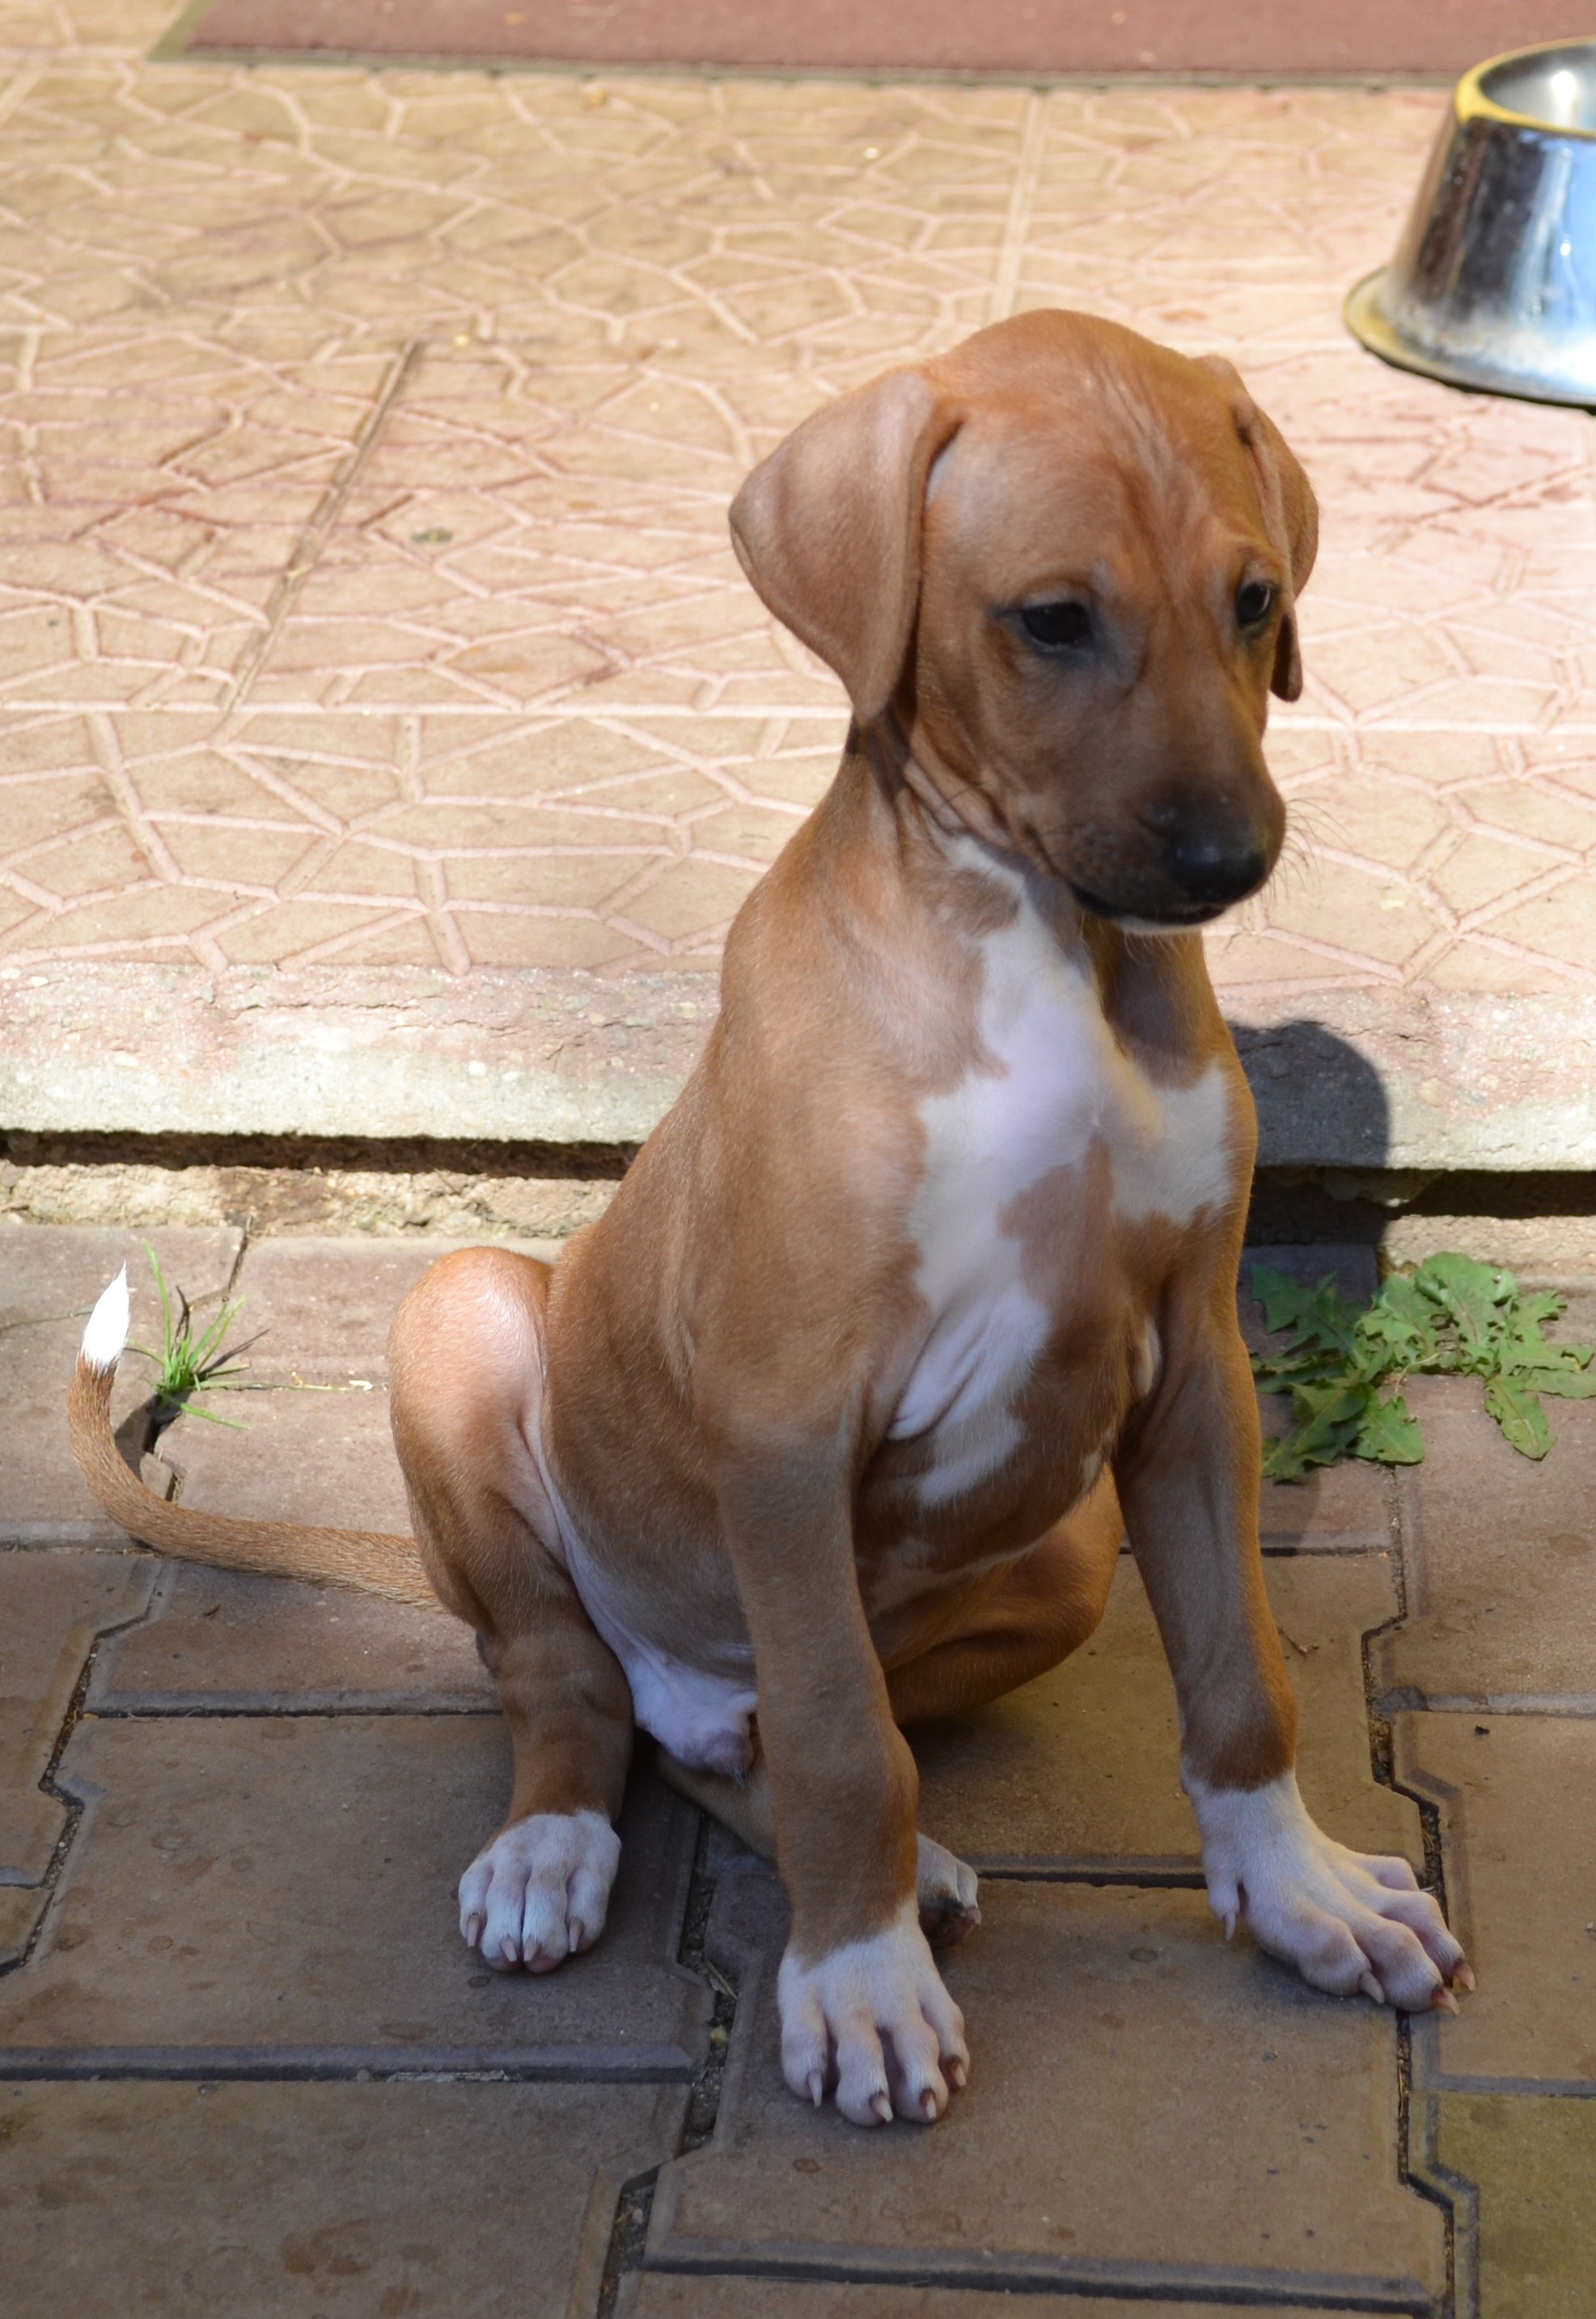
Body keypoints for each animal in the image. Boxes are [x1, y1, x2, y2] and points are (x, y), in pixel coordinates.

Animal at [71, 308, 1469, 2130]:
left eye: (1249, 601)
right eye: (1050, 619)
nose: (1229, 861)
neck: (1039, 950)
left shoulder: (1190, 1377)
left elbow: (1239, 1672)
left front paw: (1293, 1889)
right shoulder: (785, 1422)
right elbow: (840, 1742)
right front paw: (858, 1981)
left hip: (1061, 1547)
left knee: (731, 1737)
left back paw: (892, 1854)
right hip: (465, 1321)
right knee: (573, 1681)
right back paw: (565, 1846)